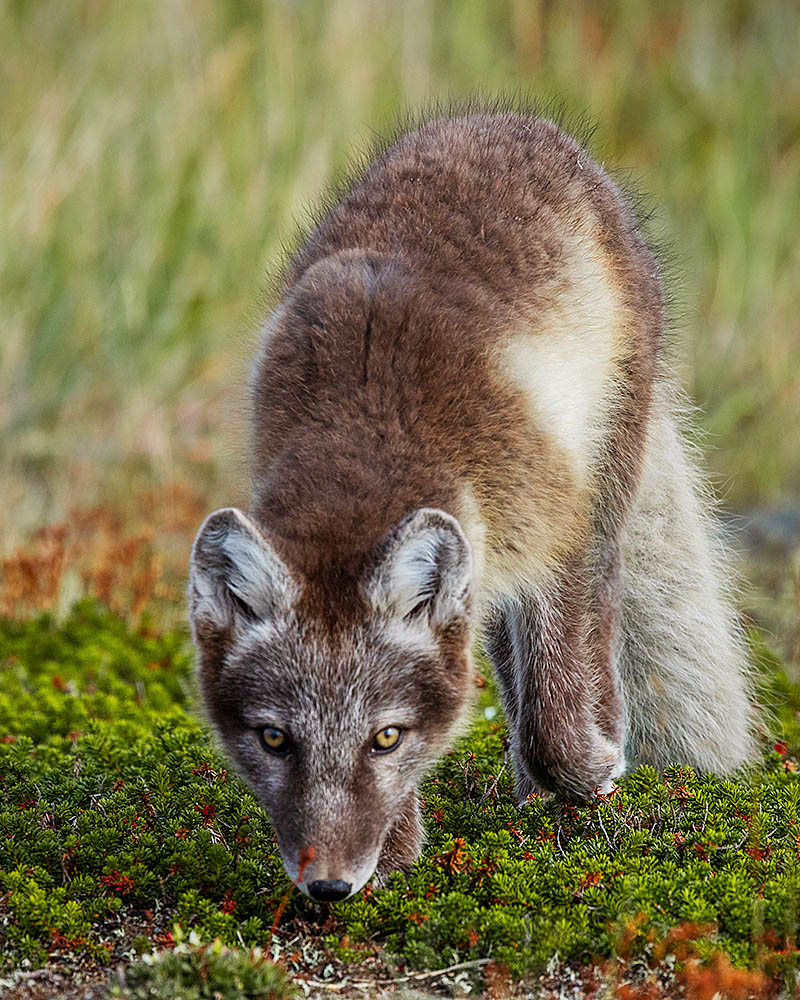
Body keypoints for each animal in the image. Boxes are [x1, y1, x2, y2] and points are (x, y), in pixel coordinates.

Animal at [191, 113, 752, 904]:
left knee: (591, 638)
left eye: (384, 736)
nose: (329, 887)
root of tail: (502, 120)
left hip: (606, 470)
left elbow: (553, 712)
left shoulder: (556, 538)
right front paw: (397, 861)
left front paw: (593, 770)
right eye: (275, 739)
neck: (364, 441)